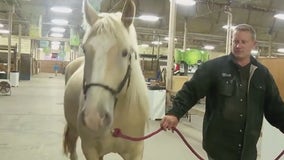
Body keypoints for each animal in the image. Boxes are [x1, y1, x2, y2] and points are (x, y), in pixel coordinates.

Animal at [63, 0, 150, 159]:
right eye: (85, 50)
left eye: (125, 52)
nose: (93, 117)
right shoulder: (90, 149)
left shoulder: (136, 151)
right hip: (72, 129)